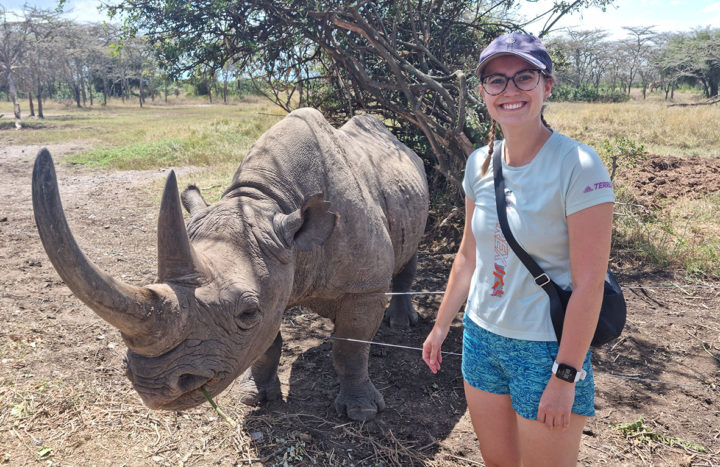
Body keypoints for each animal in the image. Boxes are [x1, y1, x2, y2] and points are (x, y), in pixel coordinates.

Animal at [32, 108, 429, 421]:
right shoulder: (276, 274)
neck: (269, 202)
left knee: (410, 254)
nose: (154, 387)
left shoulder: (364, 287)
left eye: (247, 313)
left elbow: (350, 348)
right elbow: (267, 343)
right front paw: (255, 397)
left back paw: (400, 325)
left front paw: (361, 412)